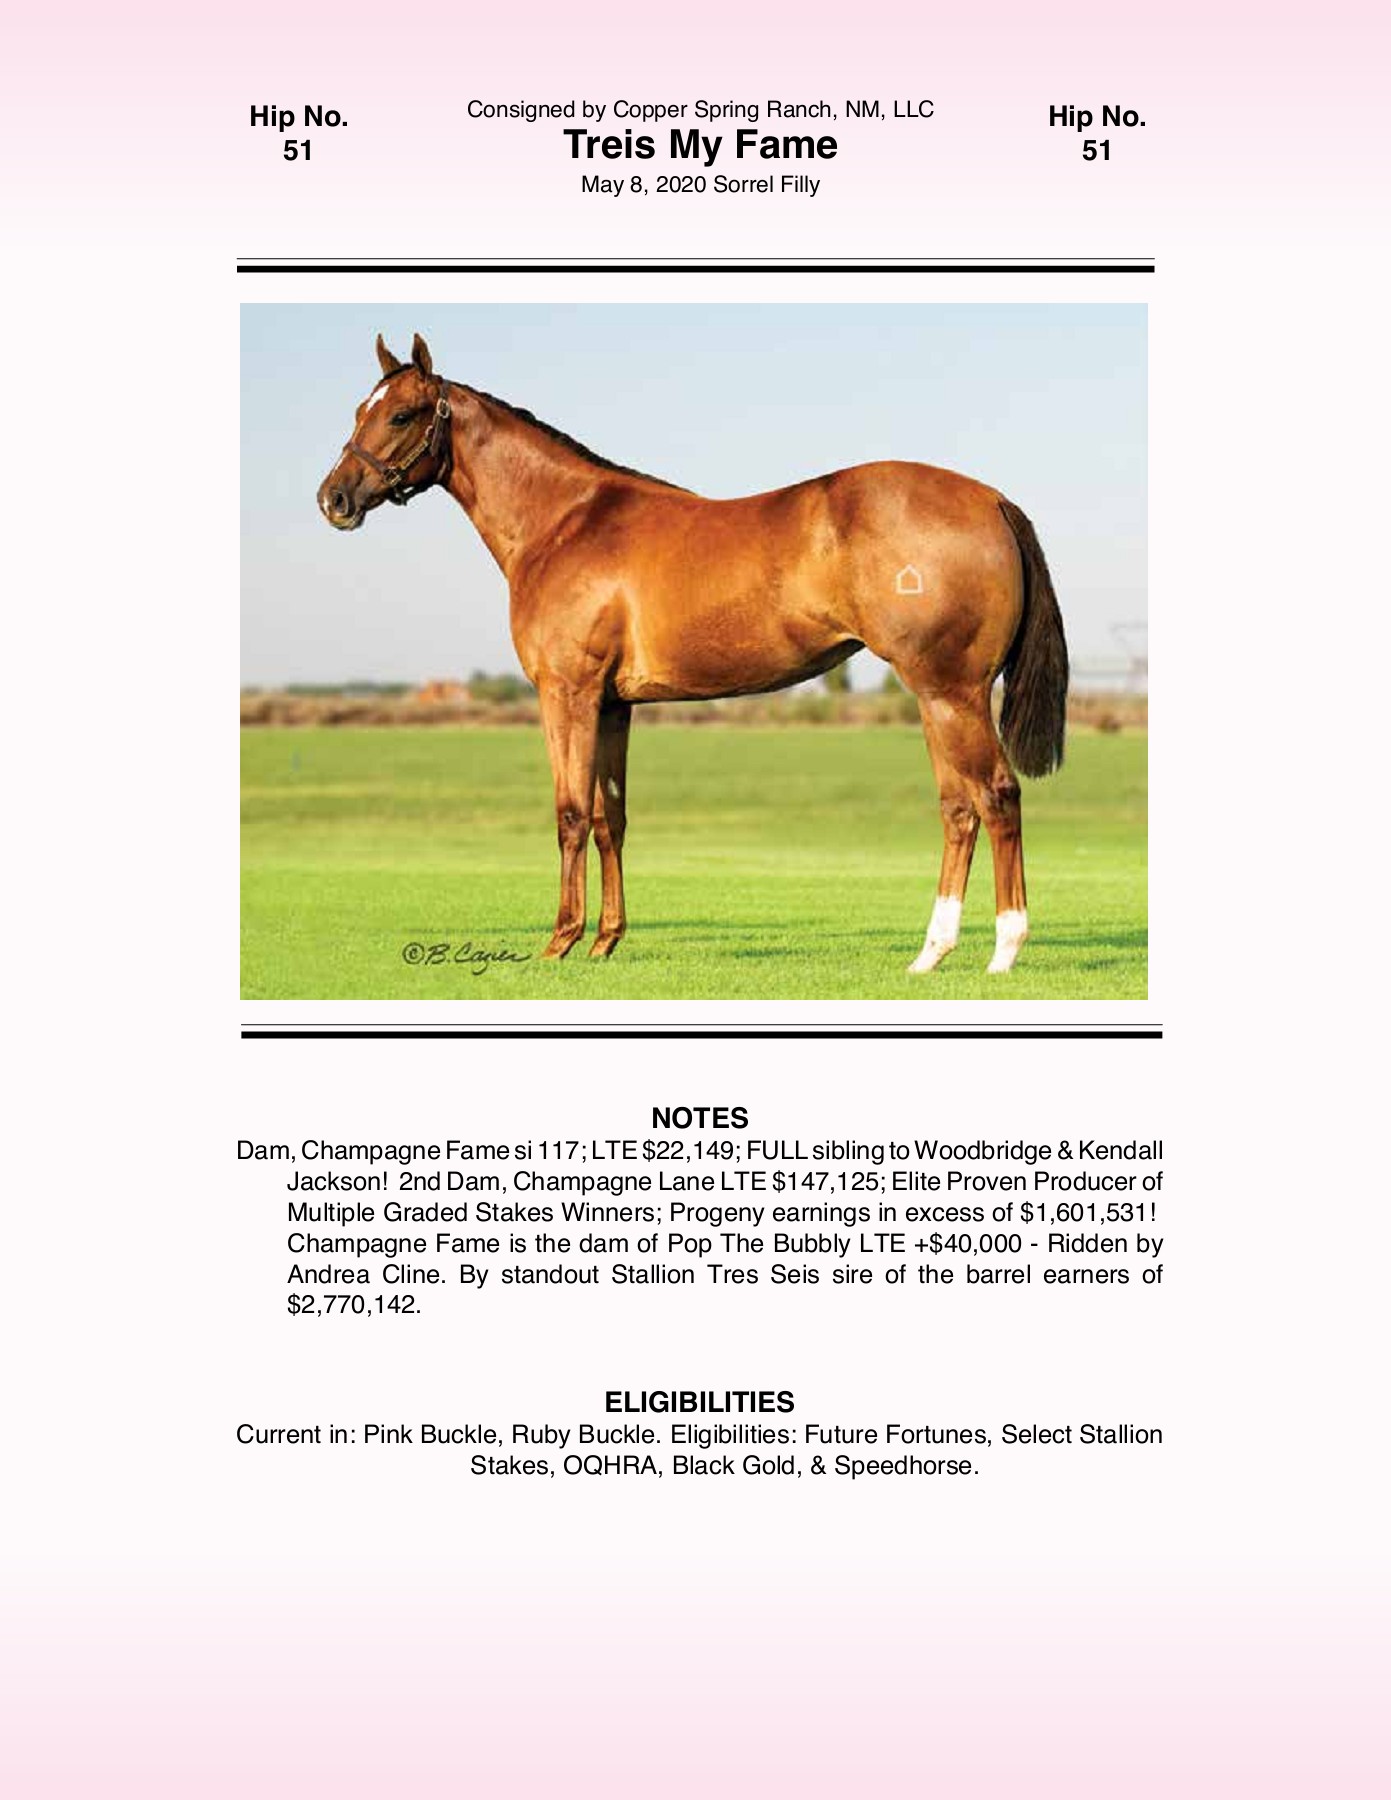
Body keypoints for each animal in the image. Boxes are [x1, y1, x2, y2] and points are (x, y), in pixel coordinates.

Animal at [317, 334, 1068, 974]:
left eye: (402, 413)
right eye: (360, 409)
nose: (335, 498)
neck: (564, 521)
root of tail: (992, 500)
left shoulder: (567, 694)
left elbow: (569, 813)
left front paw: (561, 942)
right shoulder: (614, 706)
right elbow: (609, 818)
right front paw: (605, 942)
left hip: (950, 691)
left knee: (996, 795)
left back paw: (1004, 951)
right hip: (937, 697)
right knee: (959, 807)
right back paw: (930, 954)